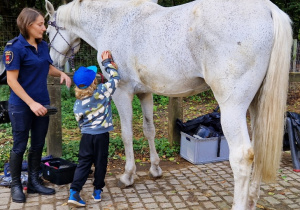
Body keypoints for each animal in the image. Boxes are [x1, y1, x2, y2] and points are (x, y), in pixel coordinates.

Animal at [45, 0, 292, 208]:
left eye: (48, 30)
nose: (52, 62)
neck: (112, 20)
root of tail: (268, 9)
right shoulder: (145, 93)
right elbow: (149, 130)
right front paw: (155, 169)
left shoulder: (122, 92)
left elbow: (126, 134)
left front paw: (127, 176)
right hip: (256, 105)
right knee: (259, 147)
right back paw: (252, 199)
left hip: (232, 107)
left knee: (242, 156)